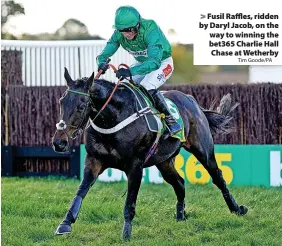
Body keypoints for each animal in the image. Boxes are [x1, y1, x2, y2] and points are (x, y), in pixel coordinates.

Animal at [51, 68, 248, 241]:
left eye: (81, 106)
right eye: (61, 101)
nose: (59, 142)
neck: (115, 117)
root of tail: (191, 99)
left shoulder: (135, 165)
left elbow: (130, 201)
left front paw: (126, 234)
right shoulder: (94, 160)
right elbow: (81, 190)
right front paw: (65, 224)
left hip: (203, 150)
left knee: (218, 177)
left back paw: (237, 209)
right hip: (164, 161)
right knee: (179, 182)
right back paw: (180, 216)